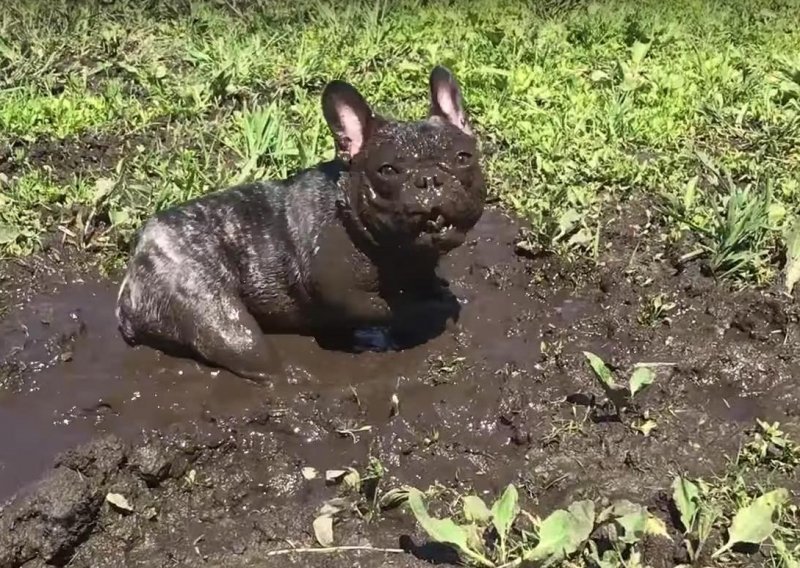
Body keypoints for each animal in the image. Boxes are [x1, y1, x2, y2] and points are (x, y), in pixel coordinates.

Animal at [115, 66, 484, 382]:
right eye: (388, 170)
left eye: (463, 158)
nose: (430, 179)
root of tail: (138, 257)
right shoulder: (338, 291)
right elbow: (383, 307)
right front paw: (416, 313)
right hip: (212, 312)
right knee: (247, 347)